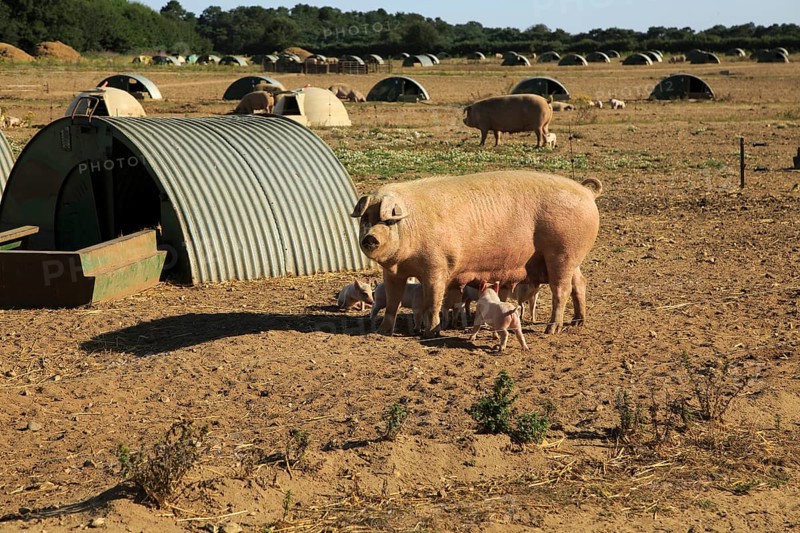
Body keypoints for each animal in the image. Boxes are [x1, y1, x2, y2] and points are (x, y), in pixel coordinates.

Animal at [352, 170, 602, 337]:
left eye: (388, 221)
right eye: (366, 219)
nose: (369, 238)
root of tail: (587, 192)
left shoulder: (437, 266)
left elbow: (433, 300)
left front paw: (431, 333)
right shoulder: (393, 273)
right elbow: (393, 301)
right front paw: (382, 331)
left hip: (563, 253)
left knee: (562, 289)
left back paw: (552, 330)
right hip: (572, 258)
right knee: (580, 283)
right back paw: (578, 322)